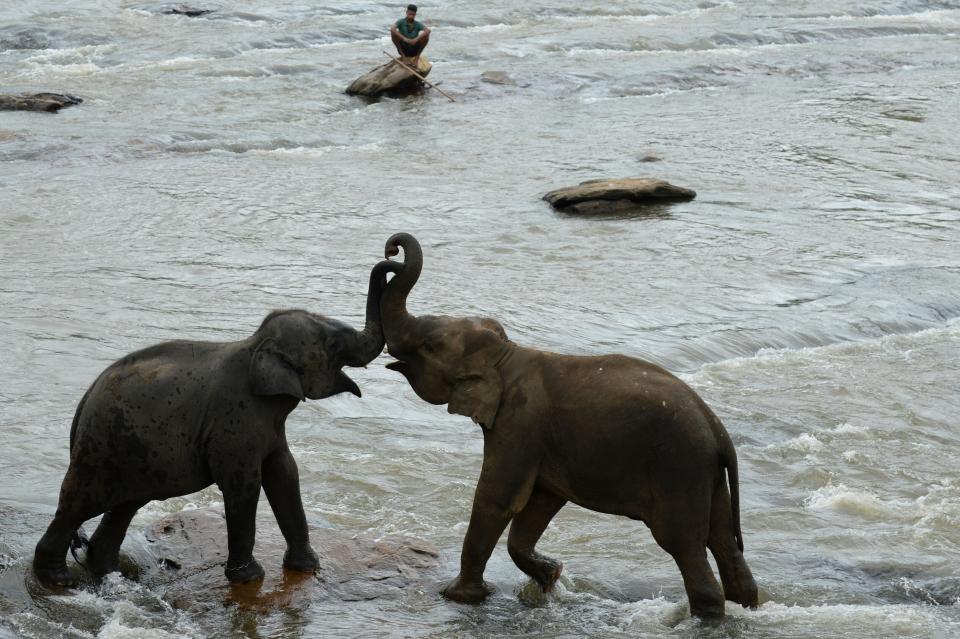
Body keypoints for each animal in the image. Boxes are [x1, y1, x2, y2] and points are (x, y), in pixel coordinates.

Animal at [33, 258, 400, 588]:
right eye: (334, 345)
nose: (393, 256)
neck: (256, 345)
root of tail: (85, 400)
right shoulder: (236, 421)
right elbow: (245, 485)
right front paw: (250, 578)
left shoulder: (268, 425)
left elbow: (285, 474)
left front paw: (307, 567)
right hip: (101, 447)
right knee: (78, 505)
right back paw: (57, 580)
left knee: (124, 506)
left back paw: (110, 572)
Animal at [378, 235, 760, 620]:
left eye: (430, 346)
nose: (391, 251)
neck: (506, 354)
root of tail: (718, 431)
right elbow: (541, 502)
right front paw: (551, 576)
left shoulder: (520, 422)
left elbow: (498, 498)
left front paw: (458, 596)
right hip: (708, 475)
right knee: (723, 541)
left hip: (680, 469)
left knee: (683, 544)